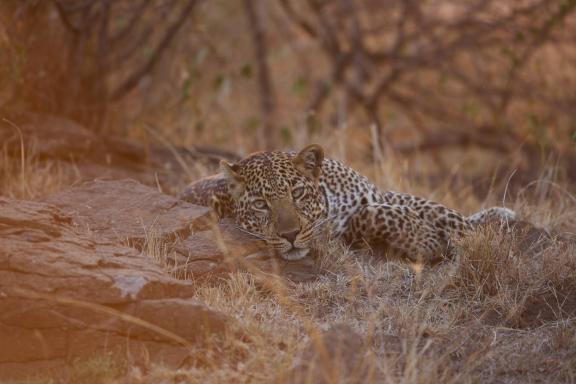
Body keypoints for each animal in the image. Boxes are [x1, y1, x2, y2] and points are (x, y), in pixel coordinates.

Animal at [178, 142, 516, 262]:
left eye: (297, 193)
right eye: (261, 204)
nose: (289, 235)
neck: (330, 206)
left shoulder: (381, 193)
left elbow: (437, 209)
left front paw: (486, 225)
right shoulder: (346, 234)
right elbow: (375, 215)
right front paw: (428, 240)